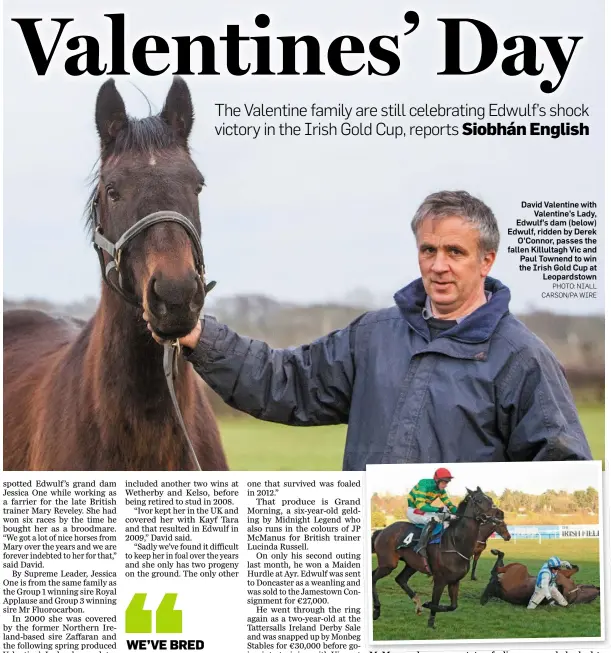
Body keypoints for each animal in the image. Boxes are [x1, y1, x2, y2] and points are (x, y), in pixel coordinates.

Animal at [372, 484, 502, 628]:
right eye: (479, 500)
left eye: (490, 499)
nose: (499, 513)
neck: (455, 543)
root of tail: (382, 531)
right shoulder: (440, 580)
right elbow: (435, 603)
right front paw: (429, 617)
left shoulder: (454, 581)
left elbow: (453, 606)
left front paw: (427, 609)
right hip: (388, 564)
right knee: (373, 578)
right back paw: (377, 609)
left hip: (411, 565)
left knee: (400, 579)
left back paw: (417, 604)